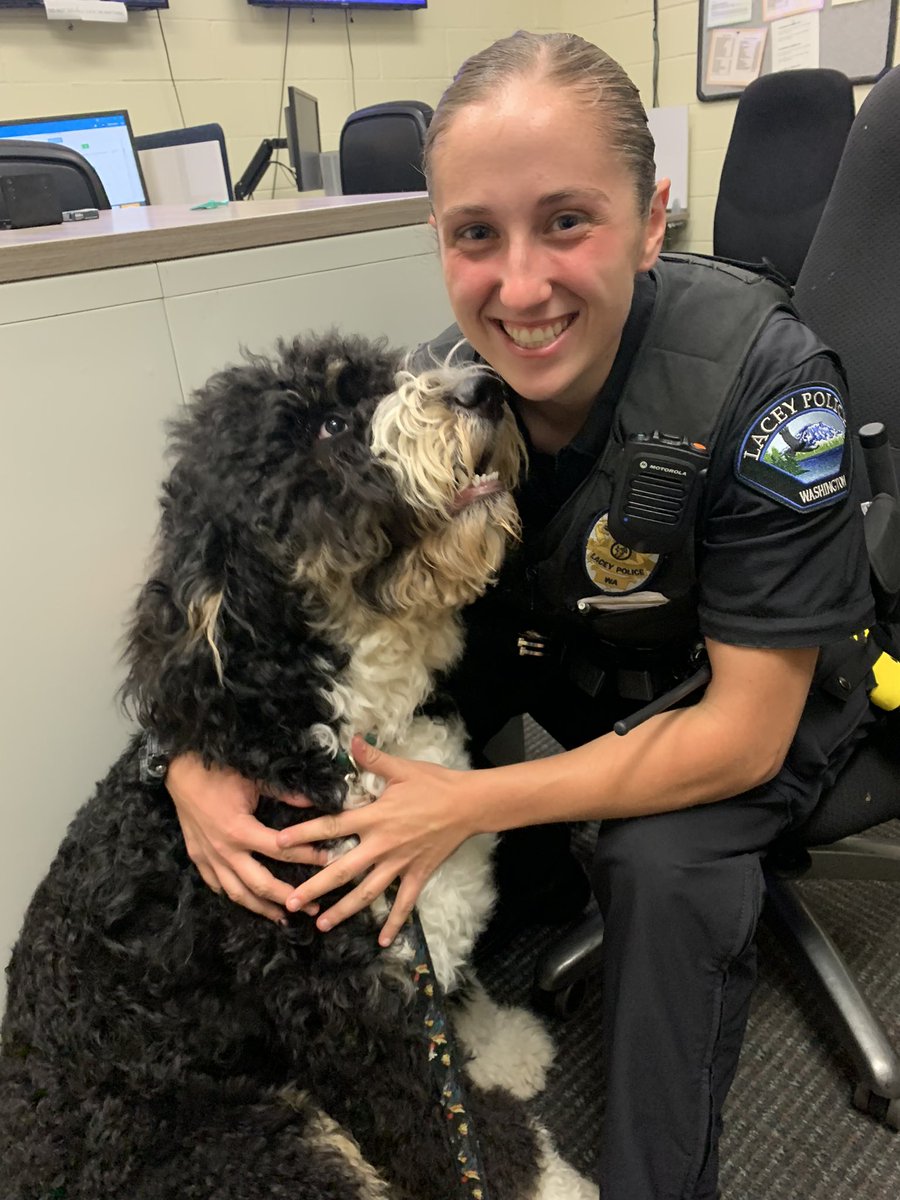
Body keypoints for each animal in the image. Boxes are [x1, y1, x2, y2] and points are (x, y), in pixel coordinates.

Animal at [1, 333, 600, 1200]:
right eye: (329, 426)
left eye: (386, 373)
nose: (485, 388)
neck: (353, 733)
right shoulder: (353, 1014)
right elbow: (448, 1129)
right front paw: (547, 1179)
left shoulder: (419, 943)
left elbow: (457, 1014)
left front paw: (501, 1046)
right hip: (252, 1147)